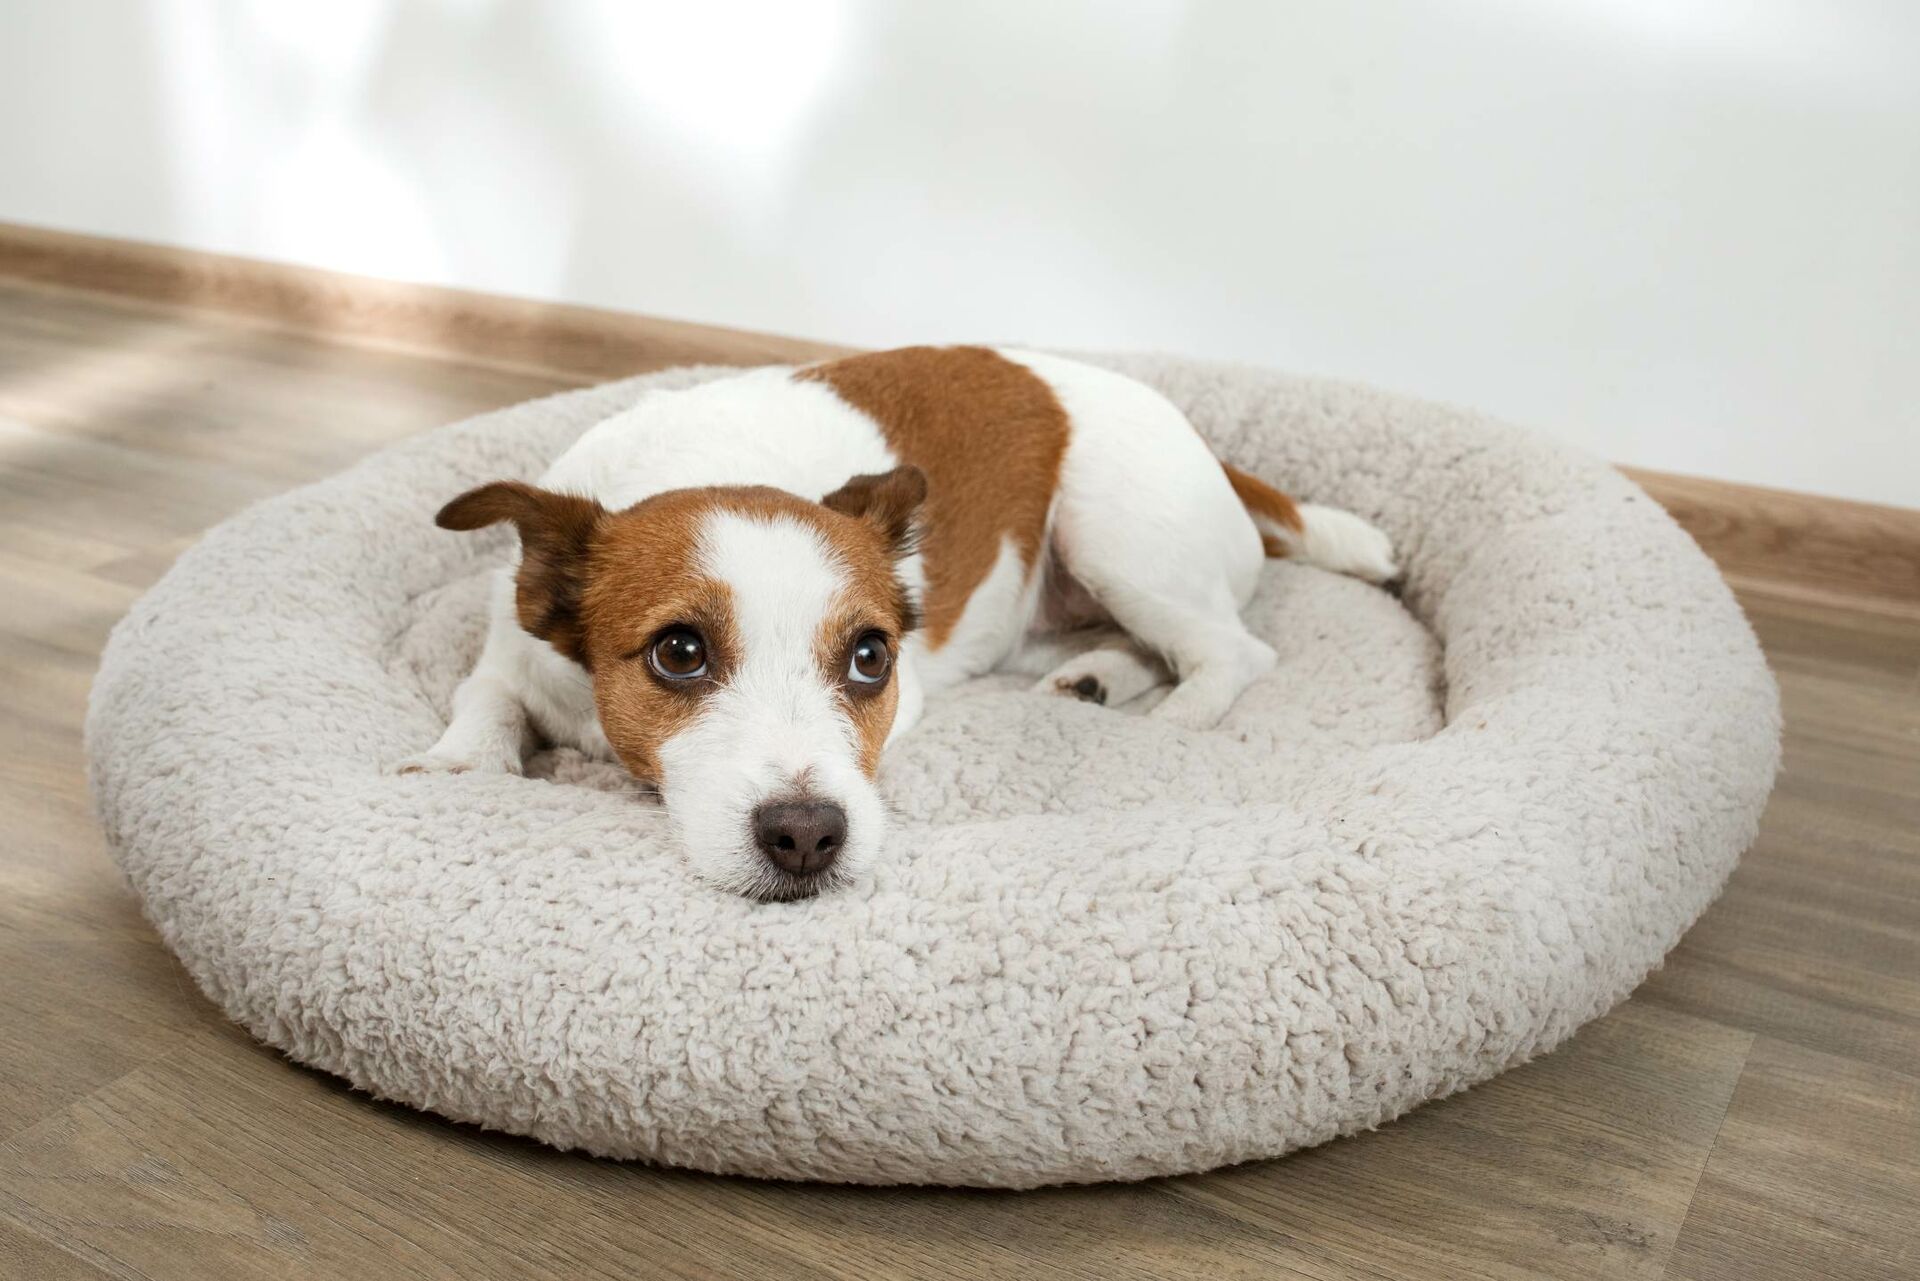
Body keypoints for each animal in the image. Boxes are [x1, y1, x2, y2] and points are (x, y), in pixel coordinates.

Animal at [401, 345, 1397, 898]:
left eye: (870, 656)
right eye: (679, 652)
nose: (808, 835)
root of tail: (1216, 458)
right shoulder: (512, 656)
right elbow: (485, 697)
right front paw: (459, 760)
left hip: (1116, 533)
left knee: (1232, 649)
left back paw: (1176, 717)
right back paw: (1097, 677)